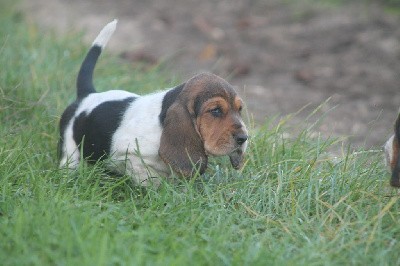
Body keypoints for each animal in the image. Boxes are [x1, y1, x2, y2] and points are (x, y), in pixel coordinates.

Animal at [57, 19, 248, 186]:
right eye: (215, 110)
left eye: (239, 109)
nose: (243, 138)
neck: (161, 124)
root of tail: (88, 94)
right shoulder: (129, 155)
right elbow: (148, 177)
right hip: (69, 148)